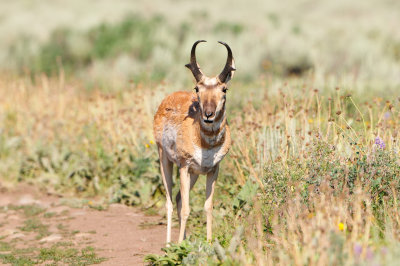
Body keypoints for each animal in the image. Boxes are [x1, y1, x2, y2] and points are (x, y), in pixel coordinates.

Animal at [152, 40, 234, 244]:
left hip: (195, 174)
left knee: (179, 198)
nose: (208, 114)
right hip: (165, 161)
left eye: (224, 89)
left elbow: (208, 207)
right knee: (170, 201)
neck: (206, 143)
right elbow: (187, 209)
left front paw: (209, 243)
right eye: (197, 88)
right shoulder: (184, 167)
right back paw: (169, 244)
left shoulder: (213, 170)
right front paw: (178, 245)